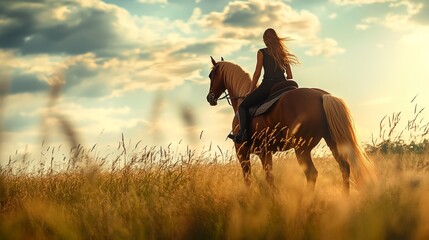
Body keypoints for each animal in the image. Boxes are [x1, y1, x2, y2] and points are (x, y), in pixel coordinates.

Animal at [206, 58, 372, 193]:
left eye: (210, 75)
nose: (209, 98)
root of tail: (321, 96)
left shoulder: (243, 152)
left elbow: (251, 179)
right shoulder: (265, 152)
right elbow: (269, 178)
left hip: (302, 149)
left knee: (312, 174)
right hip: (332, 142)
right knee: (344, 167)